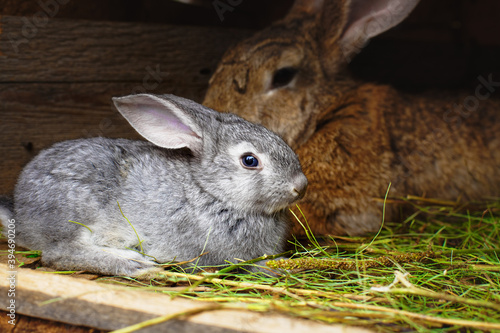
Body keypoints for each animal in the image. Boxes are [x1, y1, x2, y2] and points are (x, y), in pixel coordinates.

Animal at [0, 92, 308, 274]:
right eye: (250, 160)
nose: (301, 186)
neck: (209, 191)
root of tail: (21, 215)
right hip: (76, 209)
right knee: (59, 253)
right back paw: (133, 262)